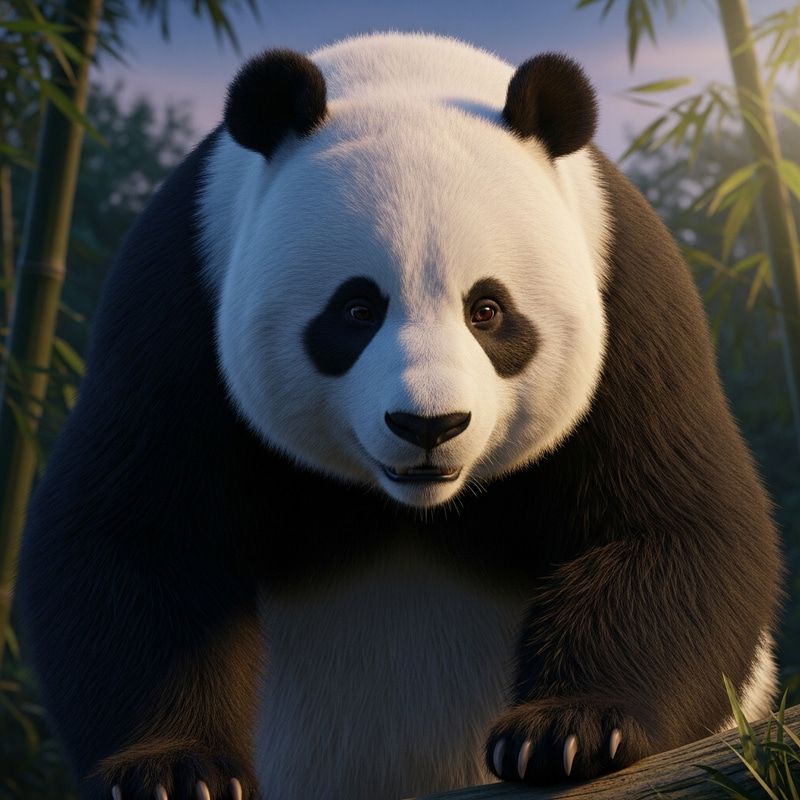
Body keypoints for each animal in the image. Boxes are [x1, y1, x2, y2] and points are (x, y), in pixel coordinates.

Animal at [17, 32, 780, 800]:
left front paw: (568, 733)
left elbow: (667, 528)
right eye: (357, 309)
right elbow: (137, 538)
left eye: (487, 310)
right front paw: (174, 770)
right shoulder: (179, 299)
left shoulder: (628, 297)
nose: (429, 426)